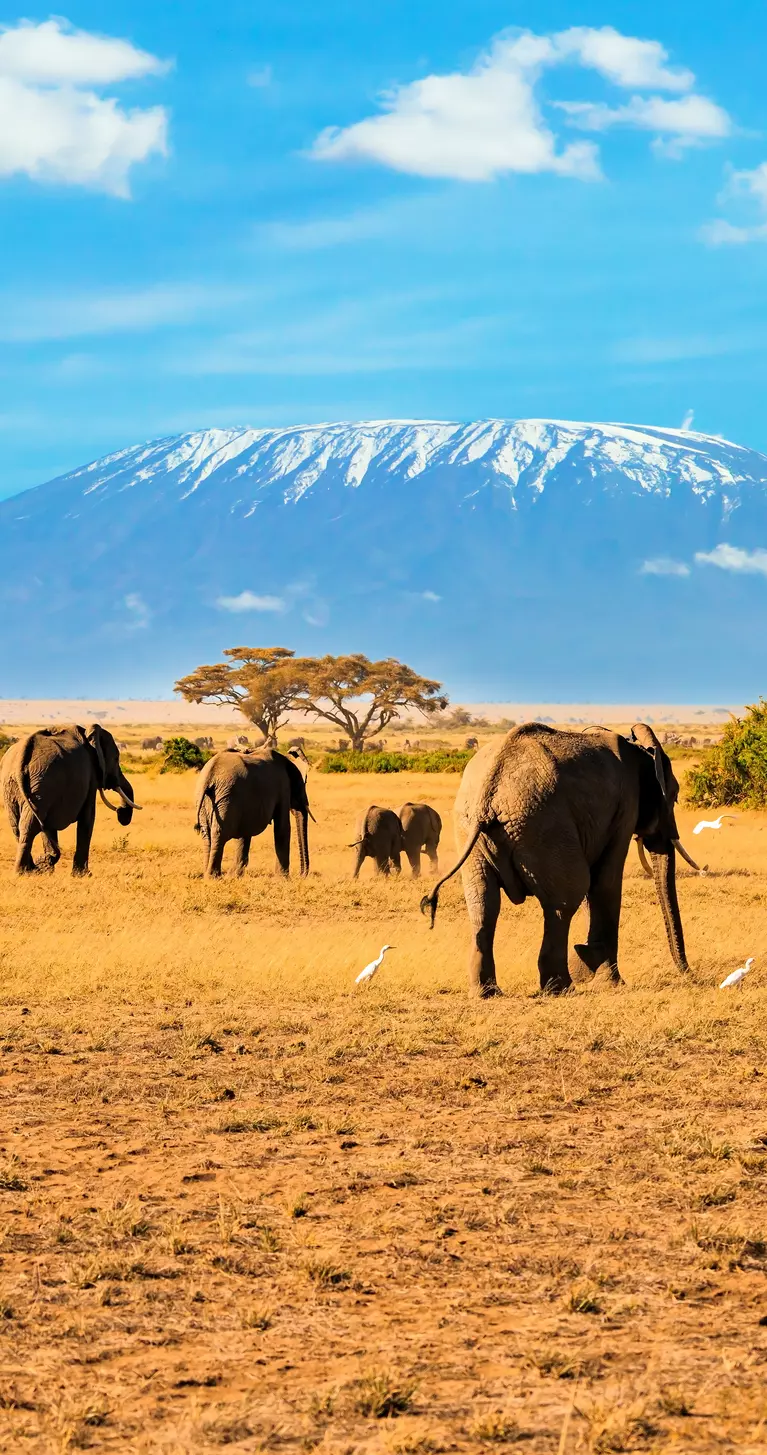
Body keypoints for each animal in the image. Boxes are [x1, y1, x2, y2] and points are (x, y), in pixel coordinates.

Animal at [1, 724, 139, 876]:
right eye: (116, 758)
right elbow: (88, 818)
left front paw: (46, 865)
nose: (120, 811)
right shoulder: (90, 776)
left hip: (18, 786)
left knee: (20, 826)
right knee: (30, 825)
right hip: (40, 783)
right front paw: (83, 875)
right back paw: (26, 871)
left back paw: (31, 870)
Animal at [195, 748, 310, 879]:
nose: (301, 875)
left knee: (206, 834)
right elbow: (282, 828)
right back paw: (214, 877)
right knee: (220, 833)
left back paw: (208, 875)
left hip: (206, 800)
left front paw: (234, 876)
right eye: (302, 786)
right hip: (227, 798)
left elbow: (245, 832)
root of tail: (210, 774)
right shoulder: (283, 788)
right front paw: (283, 879)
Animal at [420, 722, 702, 998]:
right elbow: (604, 882)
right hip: (543, 826)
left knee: (483, 904)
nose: (692, 976)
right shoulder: (625, 807)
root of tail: (490, 791)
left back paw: (487, 992)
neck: (639, 749)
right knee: (563, 901)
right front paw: (610, 982)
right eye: (675, 795)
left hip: (472, 830)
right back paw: (560, 988)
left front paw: (591, 962)